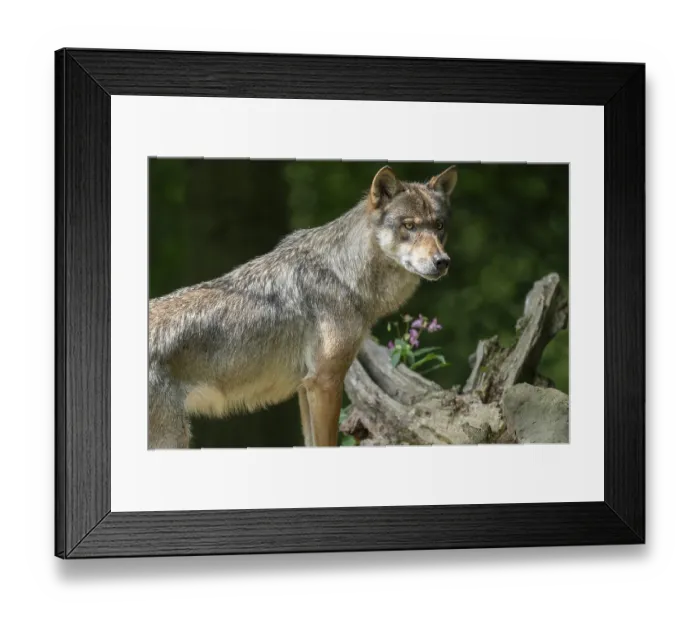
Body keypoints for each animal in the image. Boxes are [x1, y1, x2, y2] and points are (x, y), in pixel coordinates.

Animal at [148, 165, 458, 448]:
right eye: (409, 226)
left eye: (439, 226)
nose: (442, 262)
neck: (344, 275)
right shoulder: (325, 382)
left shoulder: (305, 387)